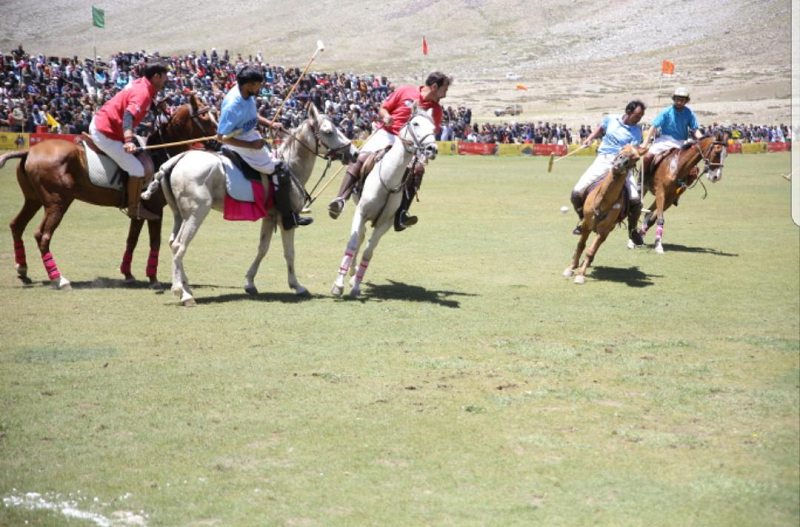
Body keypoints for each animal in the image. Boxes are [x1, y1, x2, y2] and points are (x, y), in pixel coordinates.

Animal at [0, 95, 217, 292]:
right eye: (205, 116)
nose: (218, 143)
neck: (158, 155)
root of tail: (28, 151)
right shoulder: (155, 209)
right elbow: (155, 242)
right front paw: (153, 279)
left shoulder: (139, 210)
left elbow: (131, 239)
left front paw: (128, 274)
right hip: (58, 202)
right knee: (42, 236)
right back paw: (59, 279)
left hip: (33, 199)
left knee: (16, 225)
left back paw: (23, 270)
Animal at [145, 102, 358, 306]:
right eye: (328, 132)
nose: (354, 153)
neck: (291, 166)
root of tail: (176, 159)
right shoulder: (286, 219)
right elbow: (289, 253)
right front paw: (297, 286)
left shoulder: (270, 217)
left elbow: (262, 248)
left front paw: (249, 282)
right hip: (196, 214)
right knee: (180, 245)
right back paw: (182, 293)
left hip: (179, 215)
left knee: (173, 242)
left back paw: (186, 286)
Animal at [334, 104, 440, 296]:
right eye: (415, 123)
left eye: (434, 127)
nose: (432, 149)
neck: (388, 180)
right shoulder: (361, 213)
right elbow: (352, 244)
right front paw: (338, 284)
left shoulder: (386, 223)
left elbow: (368, 252)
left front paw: (356, 286)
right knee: (359, 236)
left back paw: (353, 275)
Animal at [564, 144, 644, 284]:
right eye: (622, 149)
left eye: (637, 158)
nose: (620, 163)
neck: (603, 201)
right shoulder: (586, 224)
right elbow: (580, 245)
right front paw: (571, 267)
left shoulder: (604, 229)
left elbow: (590, 250)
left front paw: (581, 274)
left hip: (609, 229)